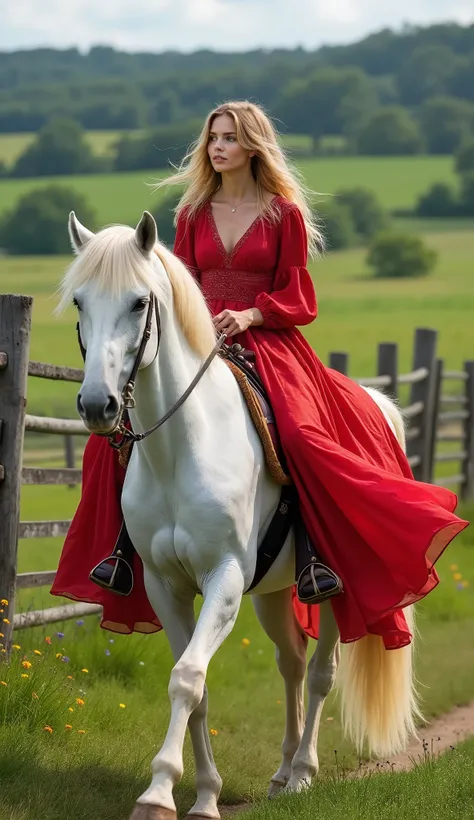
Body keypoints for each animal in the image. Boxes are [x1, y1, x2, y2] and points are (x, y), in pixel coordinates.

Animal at [61, 210, 420, 820]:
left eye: (139, 302)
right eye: (81, 301)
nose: (96, 405)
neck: (181, 447)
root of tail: (378, 405)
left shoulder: (224, 578)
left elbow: (186, 678)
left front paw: (158, 793)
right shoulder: (165, 585)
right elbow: (199, 687)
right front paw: (205, 795)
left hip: (336, 587)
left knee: (320, 673)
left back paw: (302, 774)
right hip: (273, 594)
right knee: (291, 664)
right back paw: (280, 773)